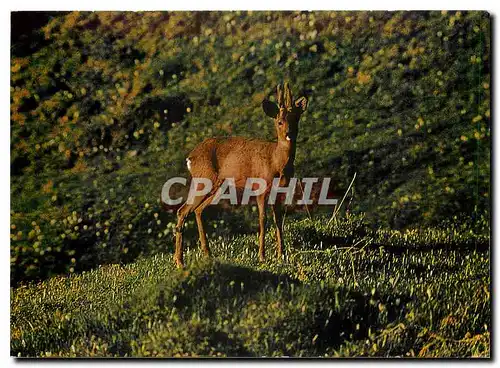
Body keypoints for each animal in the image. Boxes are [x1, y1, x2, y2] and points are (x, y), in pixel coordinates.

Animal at [174, 83, 308, 268]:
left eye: (296, 119)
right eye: (280, 121)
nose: (289, 134)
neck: (276, 160)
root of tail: (190, 157)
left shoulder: (280, 190)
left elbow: (279, 219)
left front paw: (281, 255)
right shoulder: (261, 187)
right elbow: (262, 219)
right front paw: (262, 256)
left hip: (217, 186)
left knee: (198, 210)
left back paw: (207, 254)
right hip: (203, 179)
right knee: (182, 211)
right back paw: (180, 262)